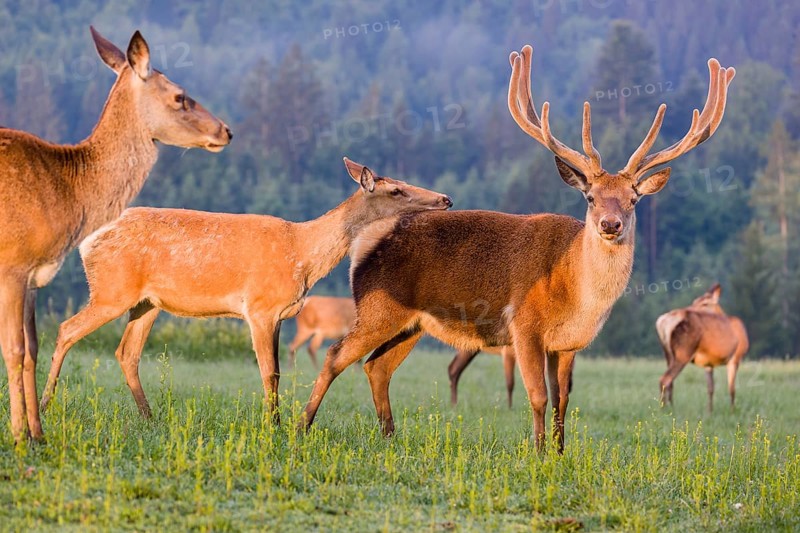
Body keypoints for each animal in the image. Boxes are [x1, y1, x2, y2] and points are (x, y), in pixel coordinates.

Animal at [0, 27, 231, 443]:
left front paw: (38, 434)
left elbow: (32, 348)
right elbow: (13, 348)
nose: (226, 130)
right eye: (180, 95)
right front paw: (19, 437)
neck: (67, 193)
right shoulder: (12, 262)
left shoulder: (35, 275)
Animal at [39, 158, 451, 420]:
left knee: (127, 353)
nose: (445, 199)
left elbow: (279, 370)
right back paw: (44, 405)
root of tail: (87, 242)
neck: (303, 254)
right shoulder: (259, 307)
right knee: (66, 330)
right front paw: (273, 426)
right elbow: (269, 372)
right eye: (396, 190)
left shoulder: (282, 314)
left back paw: (148, 417)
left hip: (146, 302)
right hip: (111, 288)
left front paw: (277, 420)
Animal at [299, 45, 735, 452]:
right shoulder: (525, 326)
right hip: (378, 307)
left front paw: (560, 453)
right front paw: (538, 453)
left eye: (633, 199)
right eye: (590, 197)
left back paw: (389, 435)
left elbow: (563, 401)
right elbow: (538, 396)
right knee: (336, 355)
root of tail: (365, 242)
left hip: (411, 323)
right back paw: (300, 425)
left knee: (377, 367)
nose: (610, 224)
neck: (574, 293)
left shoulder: (569, 343)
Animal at [656, 283, 748, 412]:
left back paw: (671, 407)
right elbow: (732, 389)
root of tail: (664, 322)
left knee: (670, 381)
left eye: (705, 303)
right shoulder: (735, 357)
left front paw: (709, 411)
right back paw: (664, 409)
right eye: (695, 301)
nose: (690, 307)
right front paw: (732, 410)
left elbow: (710, 388)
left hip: (668, 354)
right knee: (665, 379)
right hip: (684, 351)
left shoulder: (708, 363)